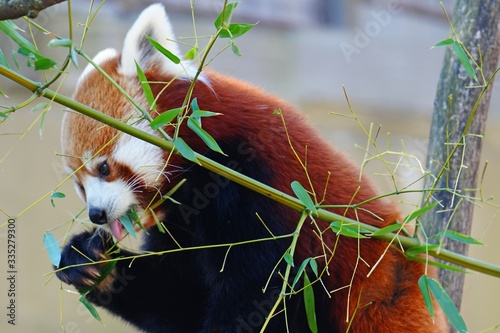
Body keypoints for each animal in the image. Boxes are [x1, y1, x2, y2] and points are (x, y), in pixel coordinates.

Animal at [55, 3, 450, 332]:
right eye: (80, 186)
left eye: (103, 168)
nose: (96, 214)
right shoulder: (184, 223)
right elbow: (180, 296)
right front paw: (89, 261)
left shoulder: (258, 191)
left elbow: (255, 298)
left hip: (389, 297)